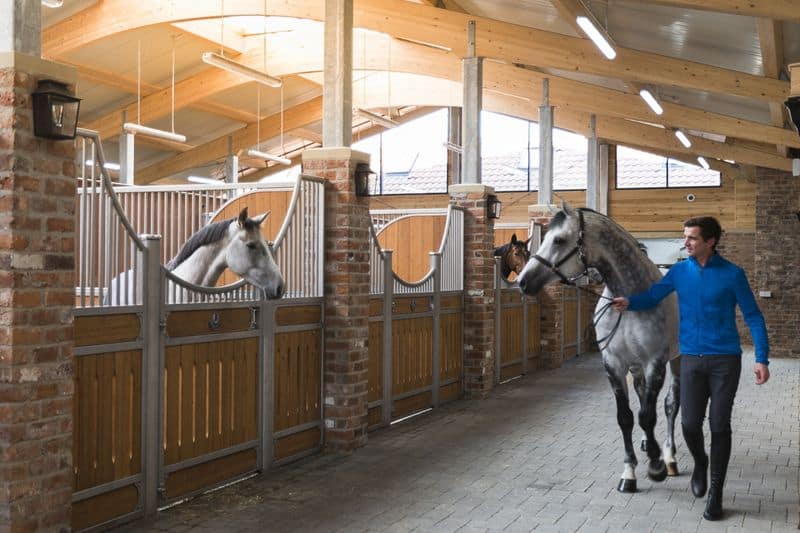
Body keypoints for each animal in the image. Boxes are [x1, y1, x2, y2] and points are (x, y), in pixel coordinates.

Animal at [516, 204, 680, 490]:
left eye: (559, 240)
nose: (523, 282)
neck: (630, 299)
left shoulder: (655, 362)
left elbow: (648, 415)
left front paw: (656, 466)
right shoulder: (614, 363)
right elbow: (626, 417)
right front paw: (629, 473)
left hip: (677, 359)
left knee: (671, 404)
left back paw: (669, 457)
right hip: (636, 367)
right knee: (642, 397)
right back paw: (649, 444)